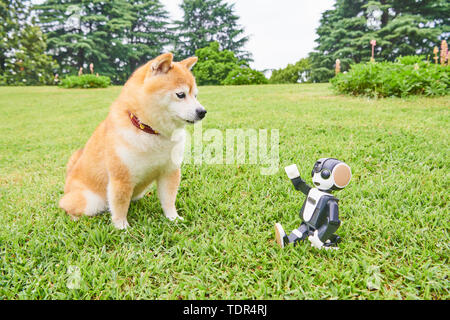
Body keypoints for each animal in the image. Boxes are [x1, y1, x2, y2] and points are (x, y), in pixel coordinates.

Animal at [59, 53, 207, 228]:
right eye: (181, 94)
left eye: (195, 95)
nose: (202, 111)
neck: (151, 132)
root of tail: (68, 181)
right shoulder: (121, 178)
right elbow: (120, 204)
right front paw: (122, 227)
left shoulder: (169, 171)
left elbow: (169, 200)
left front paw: (173, 218)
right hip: (91, 201)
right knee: (66, 205)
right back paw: (76, 218)